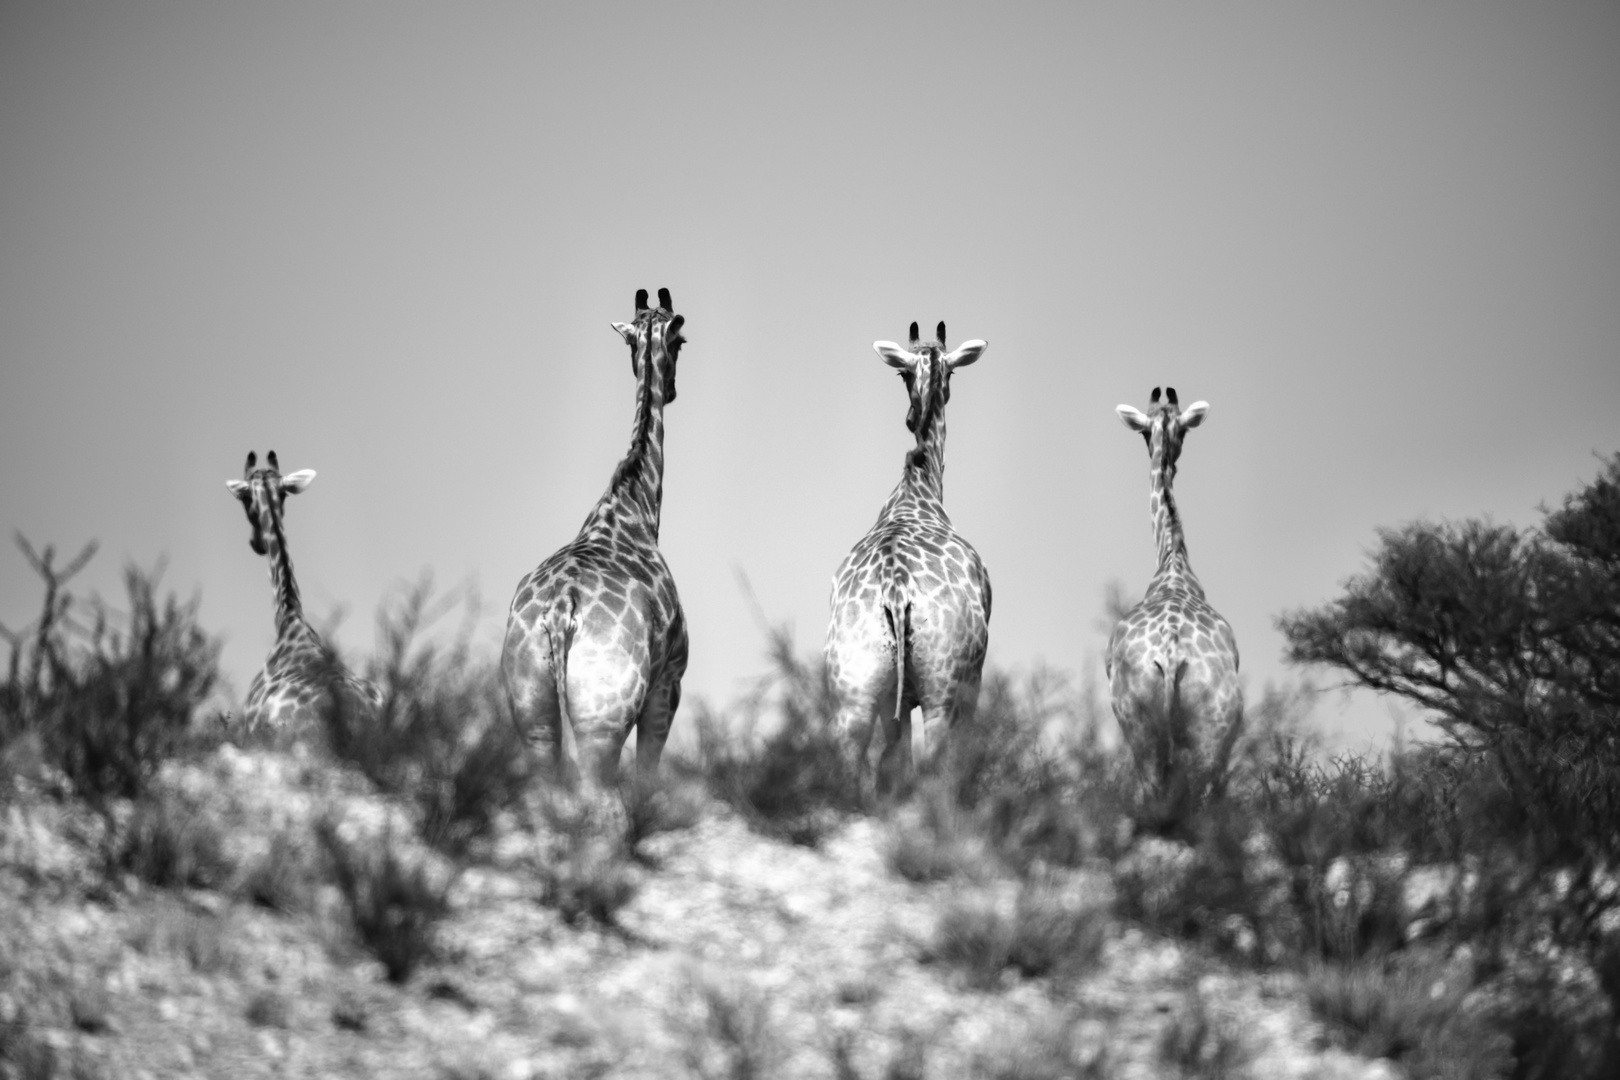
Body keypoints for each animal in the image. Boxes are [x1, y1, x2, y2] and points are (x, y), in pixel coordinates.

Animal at [498, 291, 690, 790]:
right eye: (682, 341)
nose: (673, 390)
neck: (632, 505)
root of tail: (560, 610)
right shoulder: (668, 684)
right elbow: (646, 779)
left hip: (533, 714)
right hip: (602, 722)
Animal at [829, 320, 991, 793]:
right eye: (902, 373)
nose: (909, 418)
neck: (917, 488)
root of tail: (896, 591)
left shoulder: (890, 701)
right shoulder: (972, 682)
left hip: (854, 690)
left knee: (852, 759)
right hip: (943, 689)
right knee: (935, 761)